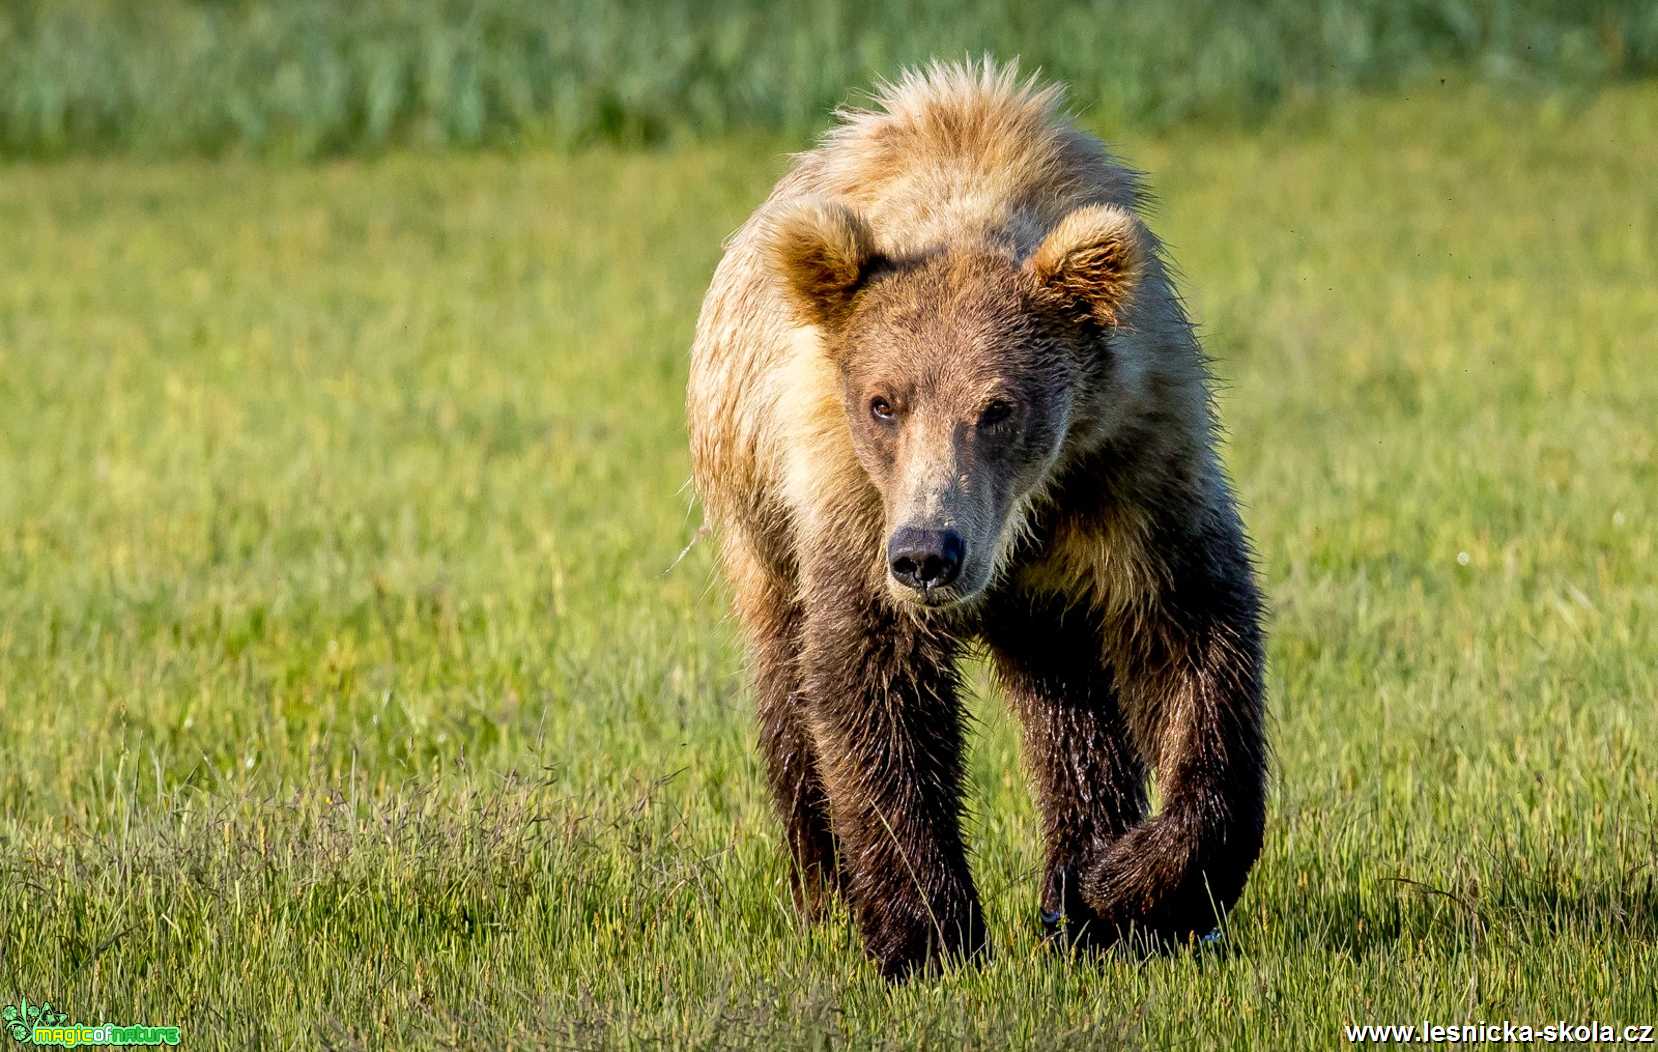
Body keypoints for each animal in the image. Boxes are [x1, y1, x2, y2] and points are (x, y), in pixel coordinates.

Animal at [686, 57, 1266, 975]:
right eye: (883, 402)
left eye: (998, 408)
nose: (931, 553)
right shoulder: (850, 495)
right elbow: (873, 682)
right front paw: (926, 931)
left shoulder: (1133, 465)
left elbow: (1189, 647)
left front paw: (1131, 885)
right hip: (754, 512)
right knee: (786, 680)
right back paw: (825, 889)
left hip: (1053, 592)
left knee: (1068, 702)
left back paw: (1078, 895)